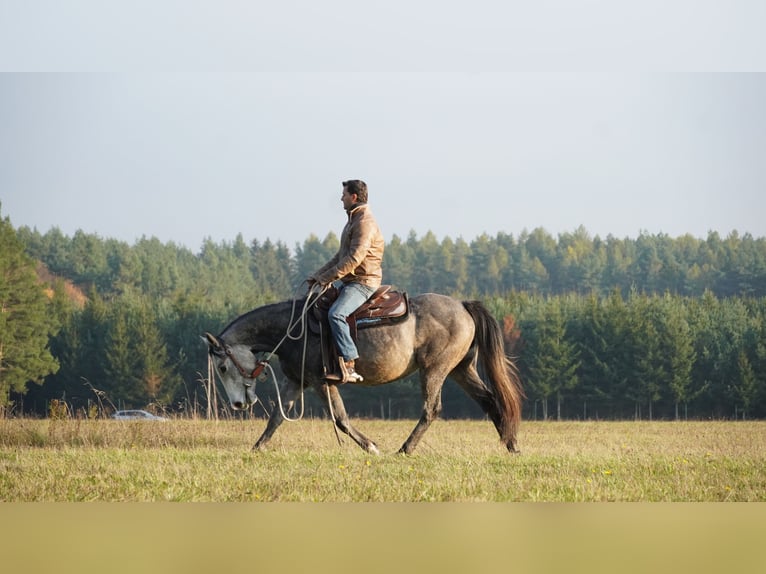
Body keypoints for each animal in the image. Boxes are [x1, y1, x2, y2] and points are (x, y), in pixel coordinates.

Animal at [207, 294, 524, 456]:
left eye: (222, 368)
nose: (238, 404)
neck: (293, 328)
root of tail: (462, 305)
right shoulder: (296, 380)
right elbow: (277, 417)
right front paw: (257, 447)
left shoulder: (322, 381)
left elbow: (340, 418)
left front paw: (371, 446)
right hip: (460, 369)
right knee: (490, 401)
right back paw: (511, 445)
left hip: (435, 369)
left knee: (432, 409)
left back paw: (405, 449)